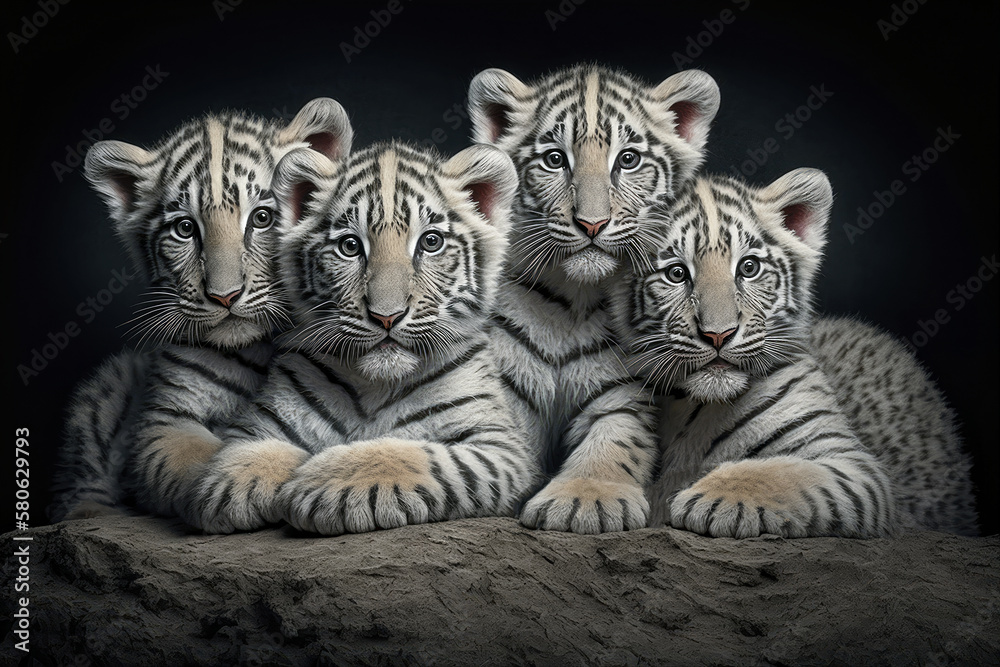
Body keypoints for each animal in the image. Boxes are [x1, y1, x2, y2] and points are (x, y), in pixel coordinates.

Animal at [180, 141, 541, 535]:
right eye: (350, 246)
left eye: (431, 242)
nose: (387, 316)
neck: (374, 386)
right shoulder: (264, 418)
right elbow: (250, 447)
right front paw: (230, 487)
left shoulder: (500, 447)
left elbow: (413, 455)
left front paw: (323, 486)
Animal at [466, 64, 721, 533]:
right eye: (554, 159)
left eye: (628, 159)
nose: (591, 223)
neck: (574, 300)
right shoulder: (506, 384)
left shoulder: (622, 392)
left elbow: (613, 445)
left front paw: (585, 500)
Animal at [614, 168, 977, 538]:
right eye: (676, 273)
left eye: (748, 268)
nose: (718, 334)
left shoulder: (854, 465)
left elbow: (786, 473)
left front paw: (707, 499)